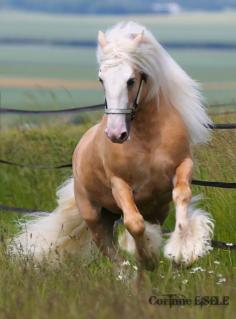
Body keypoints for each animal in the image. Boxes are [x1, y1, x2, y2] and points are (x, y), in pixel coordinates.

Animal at [13, 21, 215, 268]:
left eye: (131, 80)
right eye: (101, 79)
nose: (116, 133)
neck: (148, 141)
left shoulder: (182, 167)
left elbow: (182, 196)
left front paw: (183, 249)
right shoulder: (119, 184)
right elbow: (134, 223)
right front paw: (147, 254)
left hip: (151, 210)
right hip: (95, 217)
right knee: (111, 253)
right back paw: (131, 269)